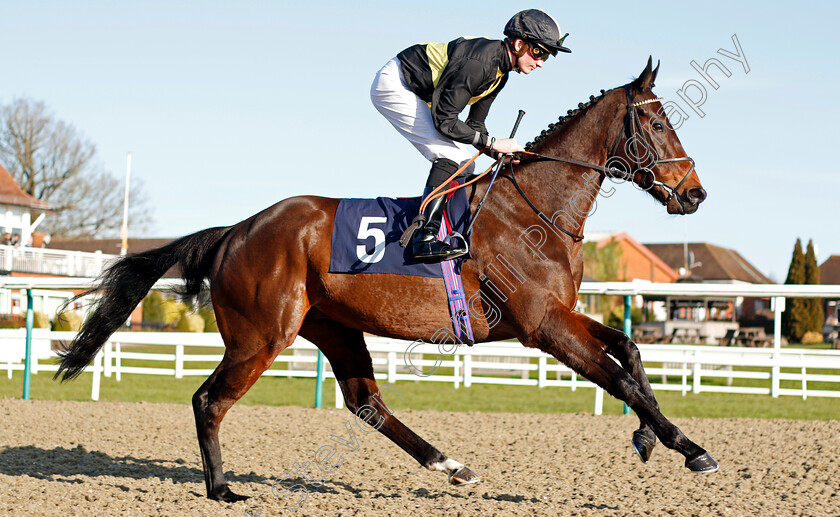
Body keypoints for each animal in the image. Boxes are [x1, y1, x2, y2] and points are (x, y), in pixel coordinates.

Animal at [57, 58, 716, 502]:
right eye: (659, 124)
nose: (694, 194)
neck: (535, 209)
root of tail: (237, 230)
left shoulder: (558, 316)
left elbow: (630, 351)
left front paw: (649, 437)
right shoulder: (542, 326)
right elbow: (619, 377)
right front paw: (692, 449)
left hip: (332, 326)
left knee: (365, 403)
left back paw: (451, 465)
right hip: (260, 335)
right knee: (209, 400)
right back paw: (221, 489)